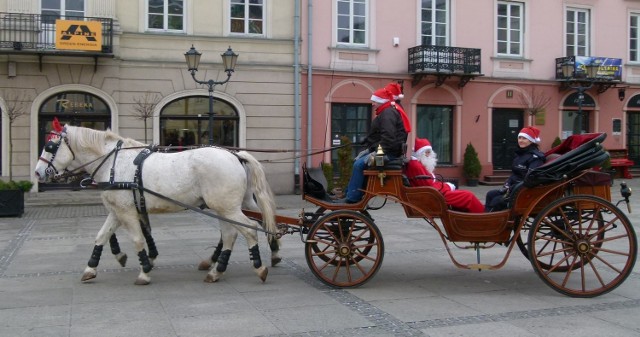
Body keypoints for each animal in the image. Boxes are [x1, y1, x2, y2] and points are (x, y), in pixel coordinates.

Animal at [33, 122, 276, 284]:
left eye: (50, 146)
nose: (37, 173)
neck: (113, 163)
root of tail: (234, 155)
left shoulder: (127, 213)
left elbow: (138, 239)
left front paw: (144, 270)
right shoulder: (118, 211)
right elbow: (101, 236)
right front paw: (91, 268)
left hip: (227, 207)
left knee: (249, 229)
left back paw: (259, 267)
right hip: (225, 207)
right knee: (233, 233)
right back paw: (218, 269)